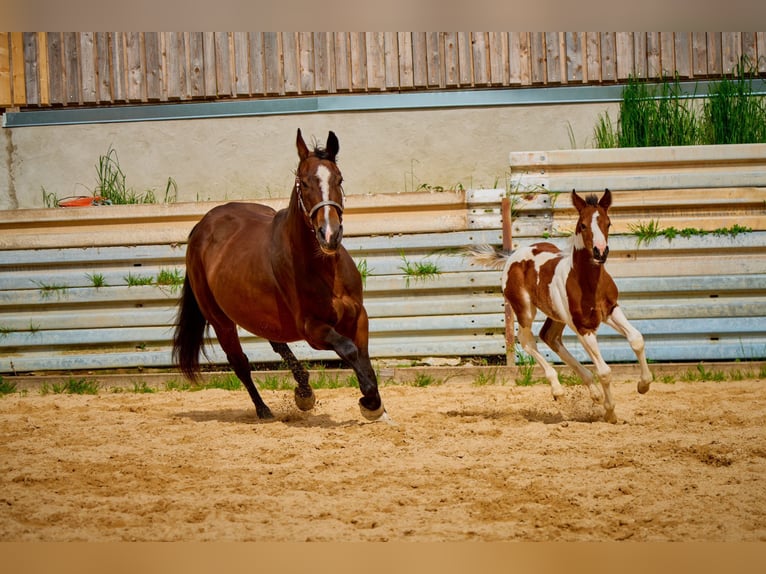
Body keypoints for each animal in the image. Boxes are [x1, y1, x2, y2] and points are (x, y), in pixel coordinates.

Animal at [172, 129, 387, 422]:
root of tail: (202, 226)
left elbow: (363, 356)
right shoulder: (312, 329)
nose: (329, 235)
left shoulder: (358, 316)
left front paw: (374, 402)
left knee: (275, 342)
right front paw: (369, 402)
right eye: (303, 183)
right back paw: (264, 409)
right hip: (220, 320)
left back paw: (304, 392)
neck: (326, 271)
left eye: (339, 179)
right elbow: (349, 349)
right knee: (239, 362)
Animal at [467, 189, 652, 423]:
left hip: (557, 315)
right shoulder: (583, 327)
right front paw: (610, 413)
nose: (600, 252)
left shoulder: (611, 310)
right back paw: (558, 389)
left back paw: (594, 393)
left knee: (549, 336)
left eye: (608, 223)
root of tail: (514, 255)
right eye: (583, 224)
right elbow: (605, 371)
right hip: (525, 309)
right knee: (527, 340)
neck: (588, 282)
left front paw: (643, 385)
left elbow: (637, 339)